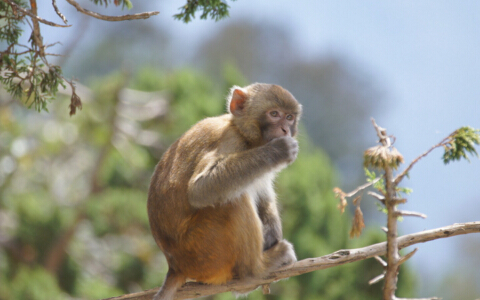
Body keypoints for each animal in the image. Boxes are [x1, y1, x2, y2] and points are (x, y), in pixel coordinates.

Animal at [148, 82, 302, 300]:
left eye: (289, 117)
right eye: (274, 114)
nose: (285, 129)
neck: (245, 135)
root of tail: (175, 267)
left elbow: (262, 192)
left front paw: (272, 232)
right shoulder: (230, 141)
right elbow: (200, 189)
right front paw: (278, 151)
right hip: (204, 252)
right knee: (233, 201)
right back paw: (255, 271)